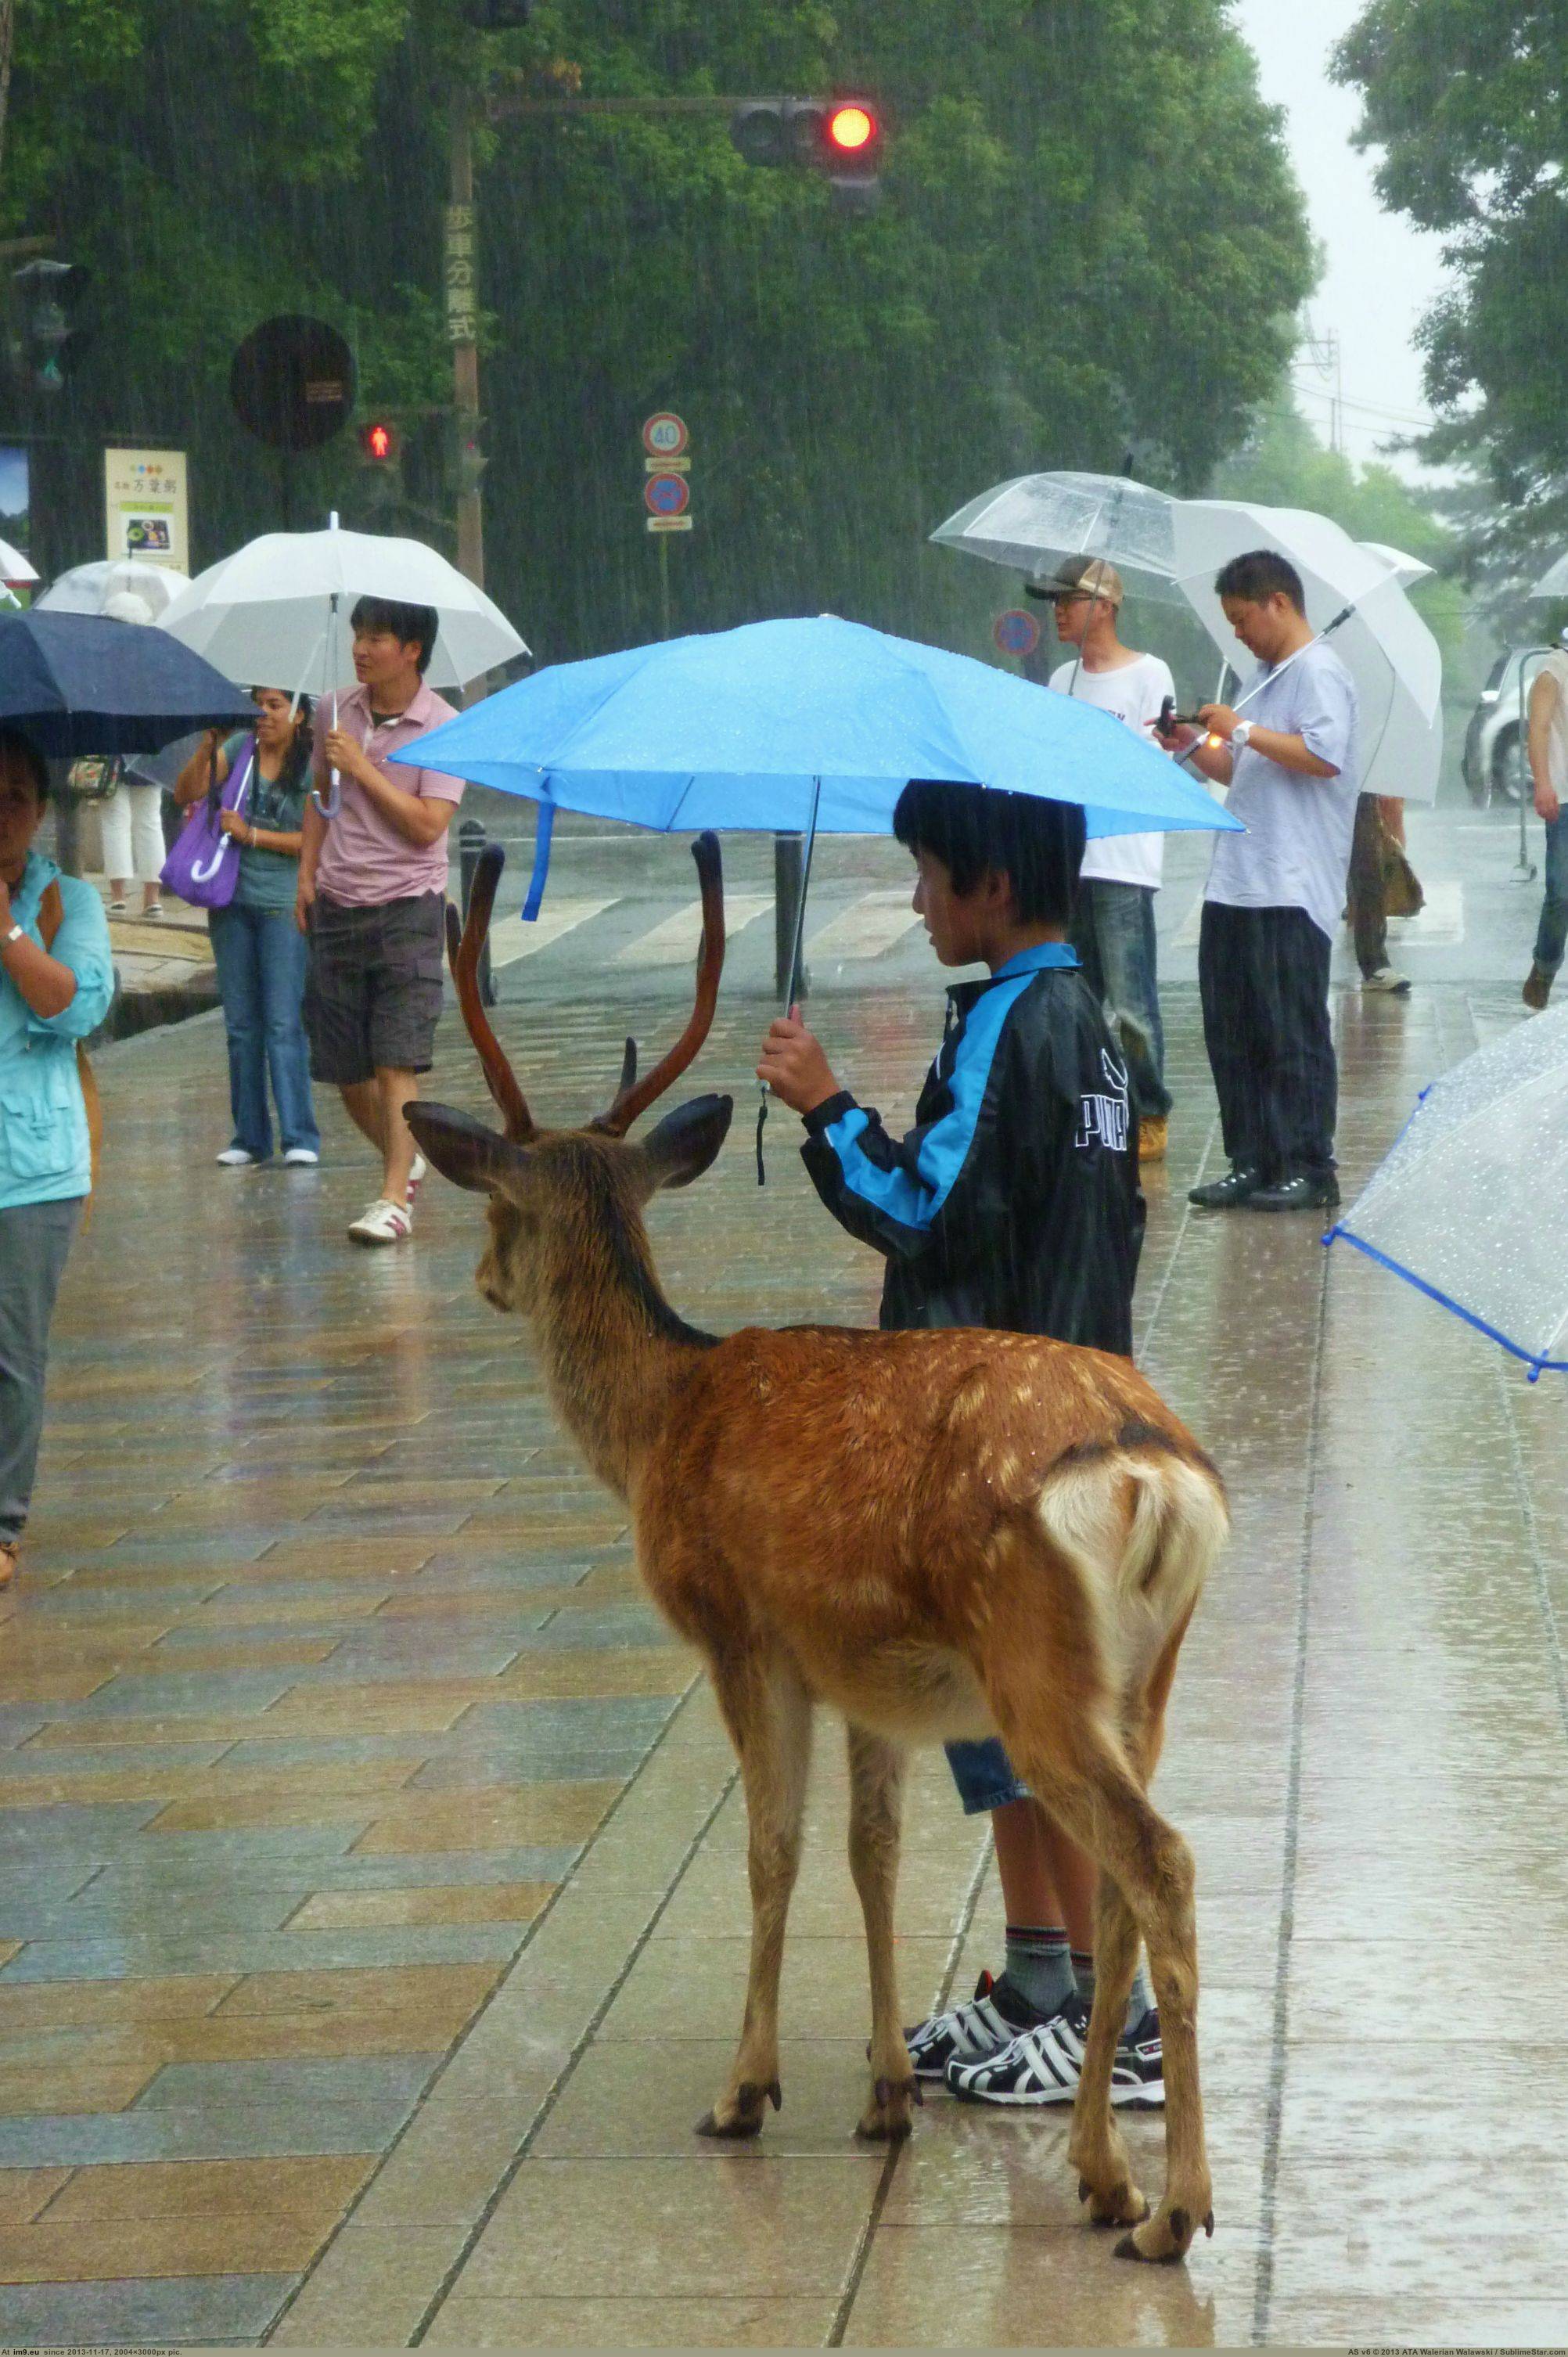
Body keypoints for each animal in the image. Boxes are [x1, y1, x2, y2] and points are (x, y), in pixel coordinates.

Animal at [405, 834, 1235, 2262]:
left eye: (498, 1213)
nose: (483, 1281)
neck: (659, 1421)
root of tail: (1151, 1471)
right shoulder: (869, 1672)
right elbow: (873, 1852)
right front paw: (885, 2092)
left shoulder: (743, 1630)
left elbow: (773, 1849)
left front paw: (746, 2089)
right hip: (1144, 1676)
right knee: (1121, 1884)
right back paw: (1097, 2173)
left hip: (1036, 1668)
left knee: (1160, 1864)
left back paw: (1169, 2207)